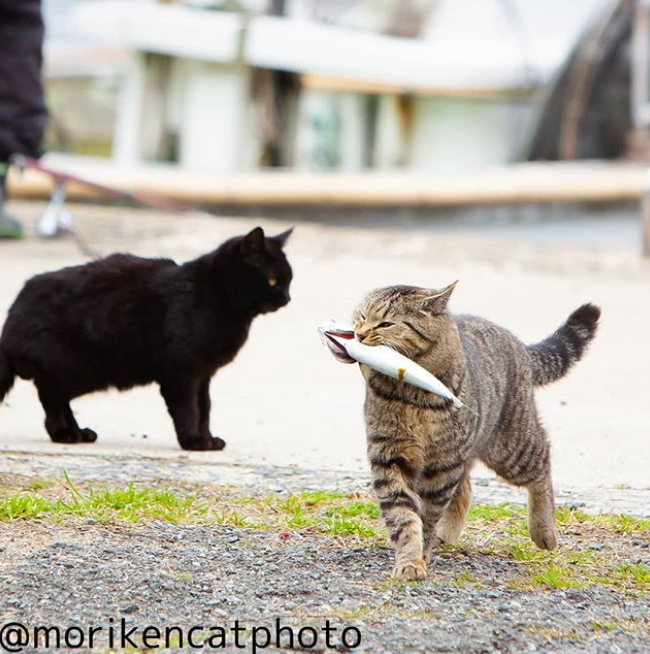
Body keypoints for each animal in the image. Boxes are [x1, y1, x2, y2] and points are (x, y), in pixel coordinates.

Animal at [0, 226, 292, 452]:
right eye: (272, 281)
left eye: (289, 280)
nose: (288, 298)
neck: (212, 295)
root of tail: (12, 317)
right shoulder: (181, 372)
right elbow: (188, 409)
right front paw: (193, 441)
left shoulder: (203, 374)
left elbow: (205, 408)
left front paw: (208, 438)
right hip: (73, 367)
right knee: (51, 399)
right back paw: (64, 434)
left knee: (60, 400)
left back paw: (79, 433)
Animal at [352, 284, 600, 580]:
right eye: (362, 315)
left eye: (386, 323)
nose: (359, 334)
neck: (408, 390)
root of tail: (518, 343)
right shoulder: (390, 456)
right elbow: (403, 516)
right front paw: (410, 559)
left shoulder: (441, 467)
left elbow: (426, 516)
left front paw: (419, 554)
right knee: (466, 488)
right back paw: (446, 536)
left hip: (511, 448)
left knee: (542, 461)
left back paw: (544, 531)